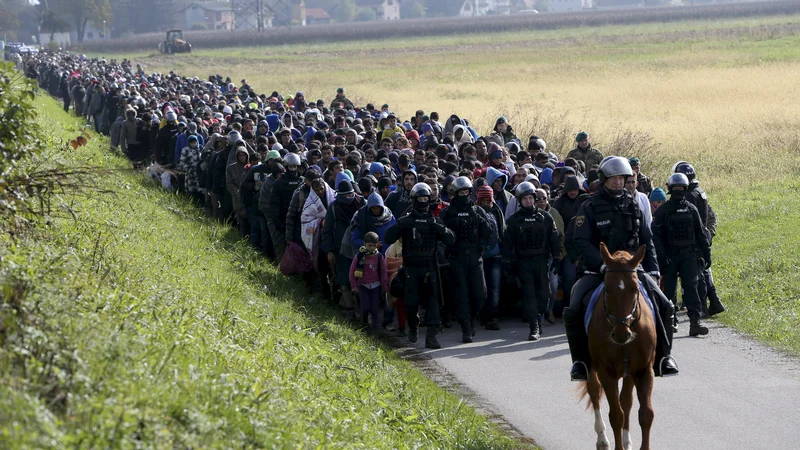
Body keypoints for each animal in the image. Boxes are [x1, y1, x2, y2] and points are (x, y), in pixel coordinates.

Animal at [580, 244, 656, 448]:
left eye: (635, 288)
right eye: (607, 288)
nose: (621, 334)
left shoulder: (643, 370)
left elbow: (645, 414)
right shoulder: (606, 372)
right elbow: (616, 415)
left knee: (626, 401)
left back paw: (627, 439)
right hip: (591, 367)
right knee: (594, 391)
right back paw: (602, 439)